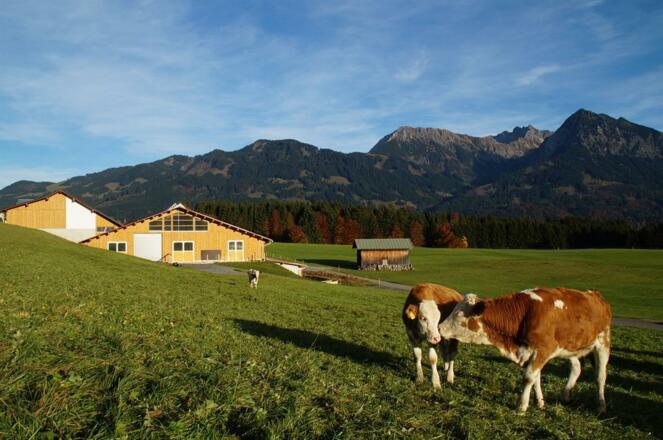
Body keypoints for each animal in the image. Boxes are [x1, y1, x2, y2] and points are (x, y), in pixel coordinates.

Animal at [438, 287, 612, 413]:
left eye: (458, 314)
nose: (439, 327)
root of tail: (595, 295)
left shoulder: (542, 350)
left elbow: (529, 378)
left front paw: (522, 406)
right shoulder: (531, 353)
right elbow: (536, 379)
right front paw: (540, 403)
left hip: (603, 343)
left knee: (600, 376)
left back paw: (601, 405)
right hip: (571, 348)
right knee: (576, 368)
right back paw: (566, 394)